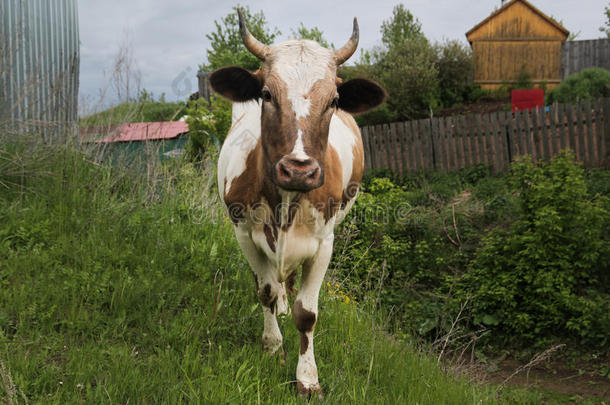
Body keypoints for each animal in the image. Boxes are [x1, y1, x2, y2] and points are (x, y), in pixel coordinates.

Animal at [209, 10, 384, 398]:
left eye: (333, 100)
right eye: (266, 93)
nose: (299, 169)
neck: (286, 202)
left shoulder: (324, 243)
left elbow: (308, 313)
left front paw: (307, 377)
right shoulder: (243, 232)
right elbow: (265, 291)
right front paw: (273, 346)